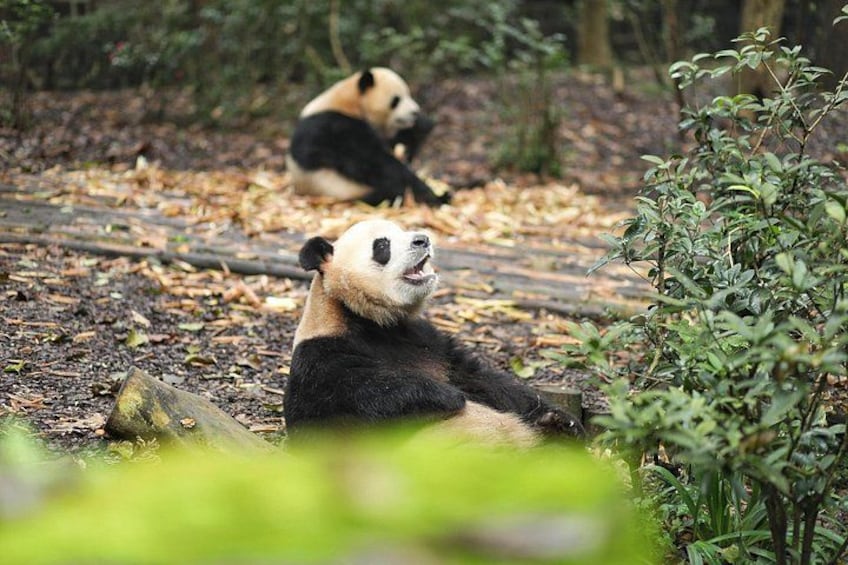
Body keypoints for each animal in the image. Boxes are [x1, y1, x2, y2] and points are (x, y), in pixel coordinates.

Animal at [284, 219, 584, 447]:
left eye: (402, 230)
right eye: (382, 245)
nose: (422, 239)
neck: (369, 319)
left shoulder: (429, 341)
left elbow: (481, 378)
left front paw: (563, 419)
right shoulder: (322, 355)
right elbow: (368, 396)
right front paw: (447, 395)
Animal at [286, 68, 449, 207]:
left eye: (409, 94)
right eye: (396, 100)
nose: (414, 112)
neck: (350, 102)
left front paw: (422, 125)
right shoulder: (333, 127)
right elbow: (372, 161)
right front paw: (431, 194)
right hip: (339, 188)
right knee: (390, 191)